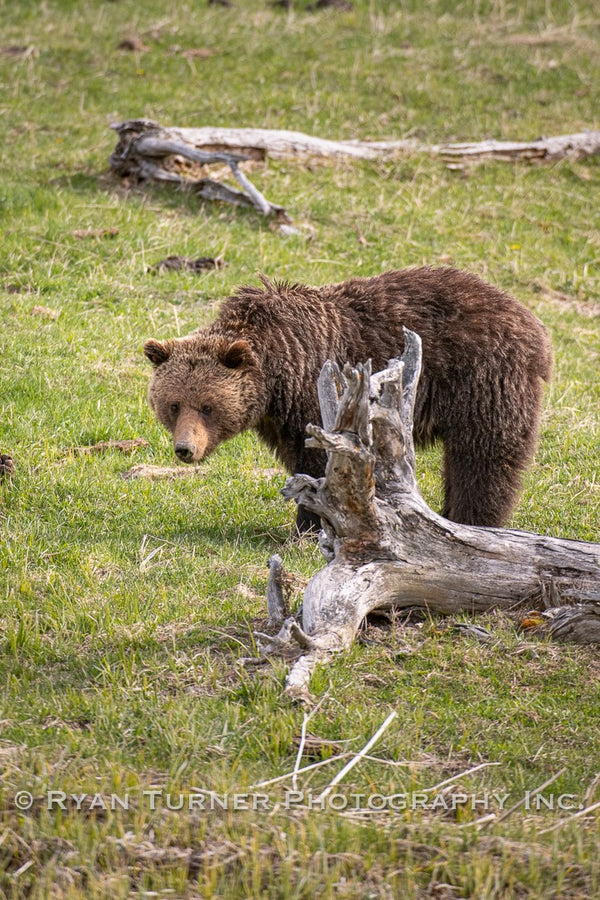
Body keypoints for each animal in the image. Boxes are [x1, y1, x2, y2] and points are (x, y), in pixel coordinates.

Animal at [142, 268, 552, 536]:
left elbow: (318, 461)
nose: (185, 448)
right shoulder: (280, 417)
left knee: (484, 456)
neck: (277, 371)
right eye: (173, 404)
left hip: (484, 379)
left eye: (207, 406)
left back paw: (474, 519)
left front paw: (310, 526)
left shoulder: (317, 394)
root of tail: (533, 324)